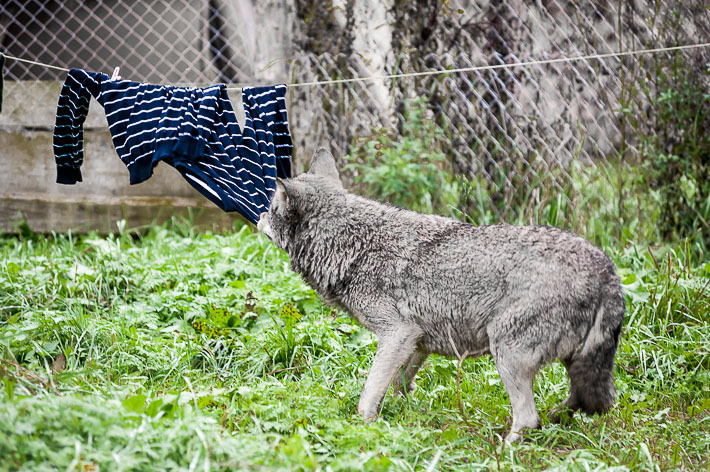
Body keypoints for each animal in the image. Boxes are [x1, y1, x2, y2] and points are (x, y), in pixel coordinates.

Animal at [258, 148, 624, 442]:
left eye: (272, 207)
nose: (259, 215)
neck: (351, 245)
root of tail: (606, 269)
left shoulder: (396, 334)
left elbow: (368, 396)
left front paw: (363, 429)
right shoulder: (416, 342)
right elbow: (396, 386)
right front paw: (399, 419)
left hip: (506, 354)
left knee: (528, 419)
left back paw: (504, 449)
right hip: (571, 362)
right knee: (581, 402)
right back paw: (557, 417)